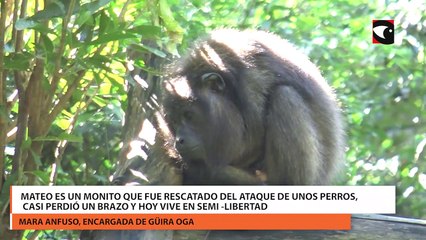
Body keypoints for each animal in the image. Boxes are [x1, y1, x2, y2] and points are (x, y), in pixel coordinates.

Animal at [157, 28, 346, 186]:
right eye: (174, 121)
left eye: (188, 115)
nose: (179, 140)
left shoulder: (251, 80)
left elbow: (251, 141)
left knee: (285, 97)